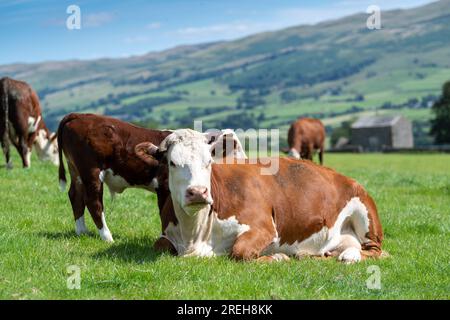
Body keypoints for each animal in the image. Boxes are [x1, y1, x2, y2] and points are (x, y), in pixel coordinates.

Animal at [58, 113, 246, 242]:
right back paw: (107, 237)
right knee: (93, 202)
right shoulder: (164, 187)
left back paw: (82, 231)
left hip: (76, 171)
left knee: (75, 196)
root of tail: (80, 115)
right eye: (234, 146)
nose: (245, 161)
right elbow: (164, 212)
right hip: (91, 172)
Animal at [136, 129, 384, 264]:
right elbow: (160, 245)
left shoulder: (264, 227)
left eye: (208, 161)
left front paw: (277, 257)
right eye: (172, 162)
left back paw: (350, 256)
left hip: (365, 214)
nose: (198, 192)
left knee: (377, 251)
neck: (194, 234)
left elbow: (240, 251)